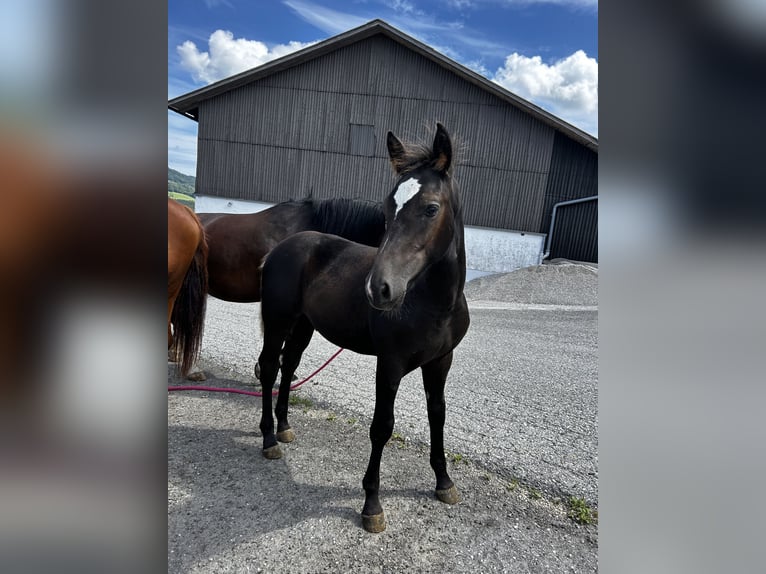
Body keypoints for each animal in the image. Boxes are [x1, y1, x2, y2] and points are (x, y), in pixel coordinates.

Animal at [257, 123, 470, 533]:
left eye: (431, 208)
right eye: (386, 209)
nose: (379, 289)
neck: (432, 303)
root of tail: (279, 249)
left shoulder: (441, 361)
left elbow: (438, 414)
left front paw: (444, 483)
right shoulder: (389, 363)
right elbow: (382, 426)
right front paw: (372, 505)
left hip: (304, 326)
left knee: (289, 367)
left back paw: (284, 427)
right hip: (278, 321)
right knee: (271, 368)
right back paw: (268, 440)